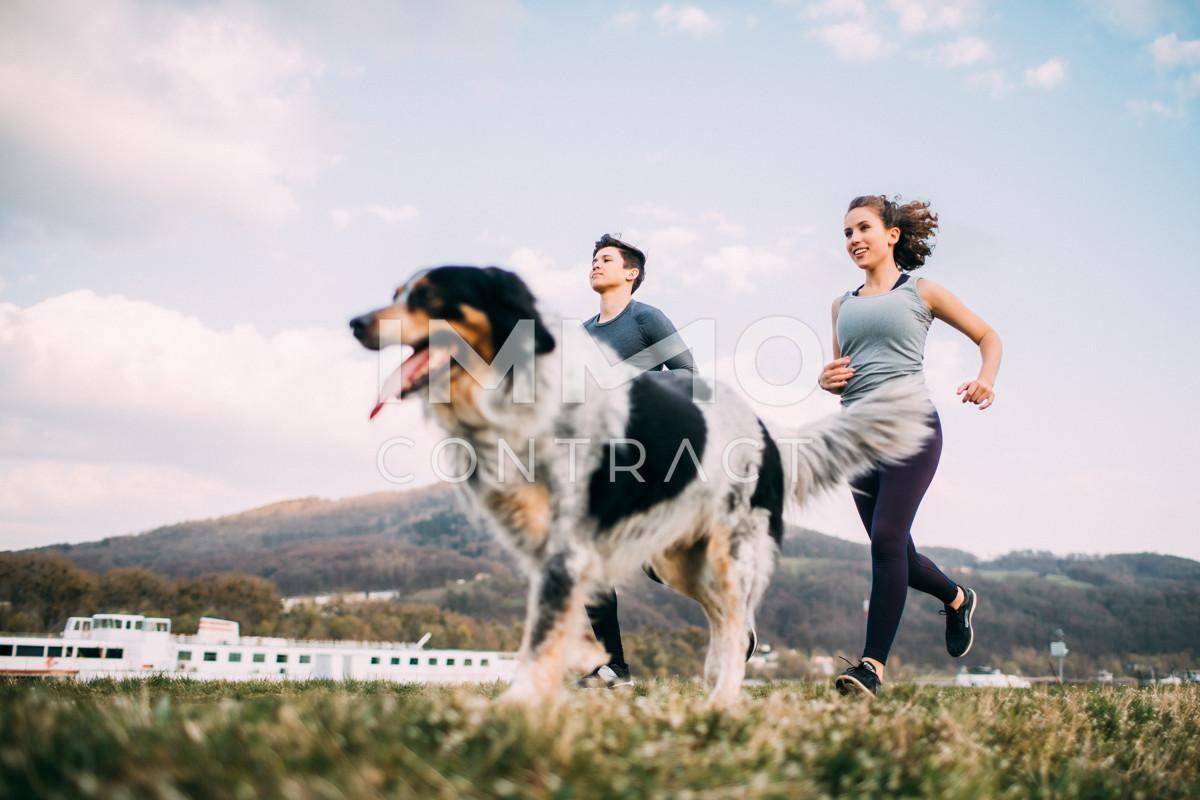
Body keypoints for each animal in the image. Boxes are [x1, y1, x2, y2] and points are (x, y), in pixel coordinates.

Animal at [350, 267, 931, 705]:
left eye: (428, 296)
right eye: (397, 292)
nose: (355, 322)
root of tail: (771, 437)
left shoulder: (570, 547)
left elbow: (540, 640)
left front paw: (512, 711)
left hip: (728, 553)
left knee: (736, 621)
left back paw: (722, 702)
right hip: (678, 559)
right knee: (726, 621)